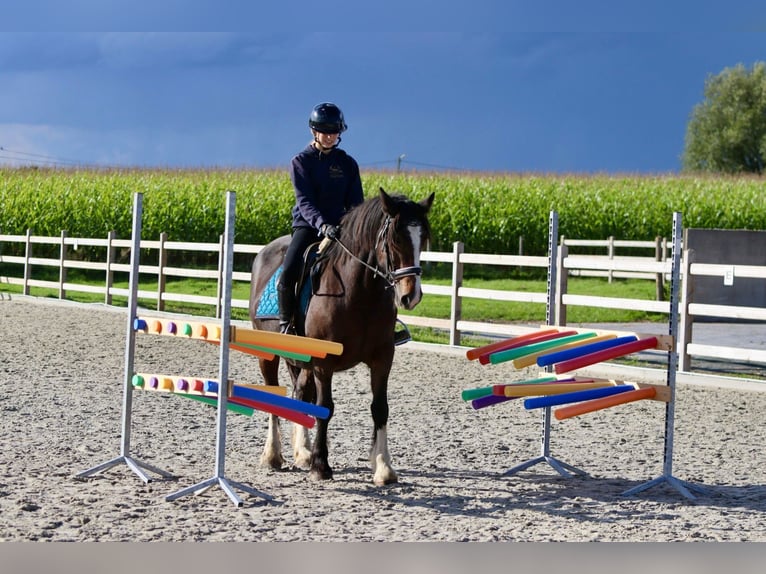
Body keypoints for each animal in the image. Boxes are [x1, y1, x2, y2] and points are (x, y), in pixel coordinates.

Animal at [249, 189, 436, 486]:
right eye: (394, 238)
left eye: (423, 238)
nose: (411, 295)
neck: (358, 293)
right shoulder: (324, 363)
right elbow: (325, 407)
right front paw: (321, 465)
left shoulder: (383, 358)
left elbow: (380, 407)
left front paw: (383, 467)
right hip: (268, 353)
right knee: (273, 394)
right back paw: (273, 456)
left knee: (300, 392)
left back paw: (302, 452)